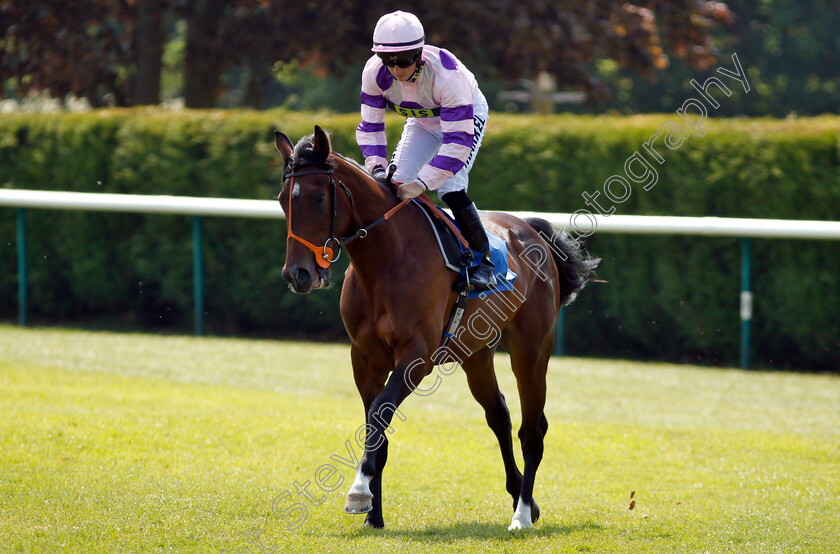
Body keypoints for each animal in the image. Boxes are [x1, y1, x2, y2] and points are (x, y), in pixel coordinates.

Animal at [274, 126, 596, 532]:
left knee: (532, 429)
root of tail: (531, 231)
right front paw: (374, 514)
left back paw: (522, 514)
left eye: (317, 197)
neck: (385, 260)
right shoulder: (364, 358)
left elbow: (380, 412)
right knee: (499, 415)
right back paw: (526, 501)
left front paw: (359, 493)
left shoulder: (417, 357)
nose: (298, 274)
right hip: (476, 353)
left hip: (532, 349)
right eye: (283, 200)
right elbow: (376, 426)